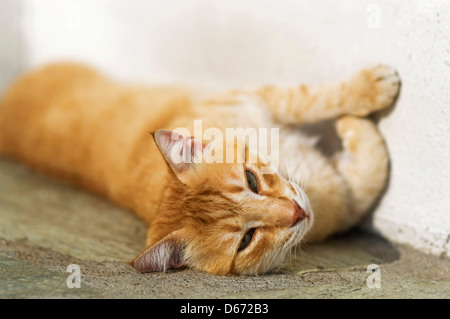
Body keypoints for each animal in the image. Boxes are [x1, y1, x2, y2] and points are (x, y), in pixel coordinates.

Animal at [0, 62, 400, 276]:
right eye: (246, 240)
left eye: (251, 179)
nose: (298, 212)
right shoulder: (345, 201)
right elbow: (372, 167)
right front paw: (357, 119)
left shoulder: (254, 97)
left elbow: (309, 98)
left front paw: (367, 90)